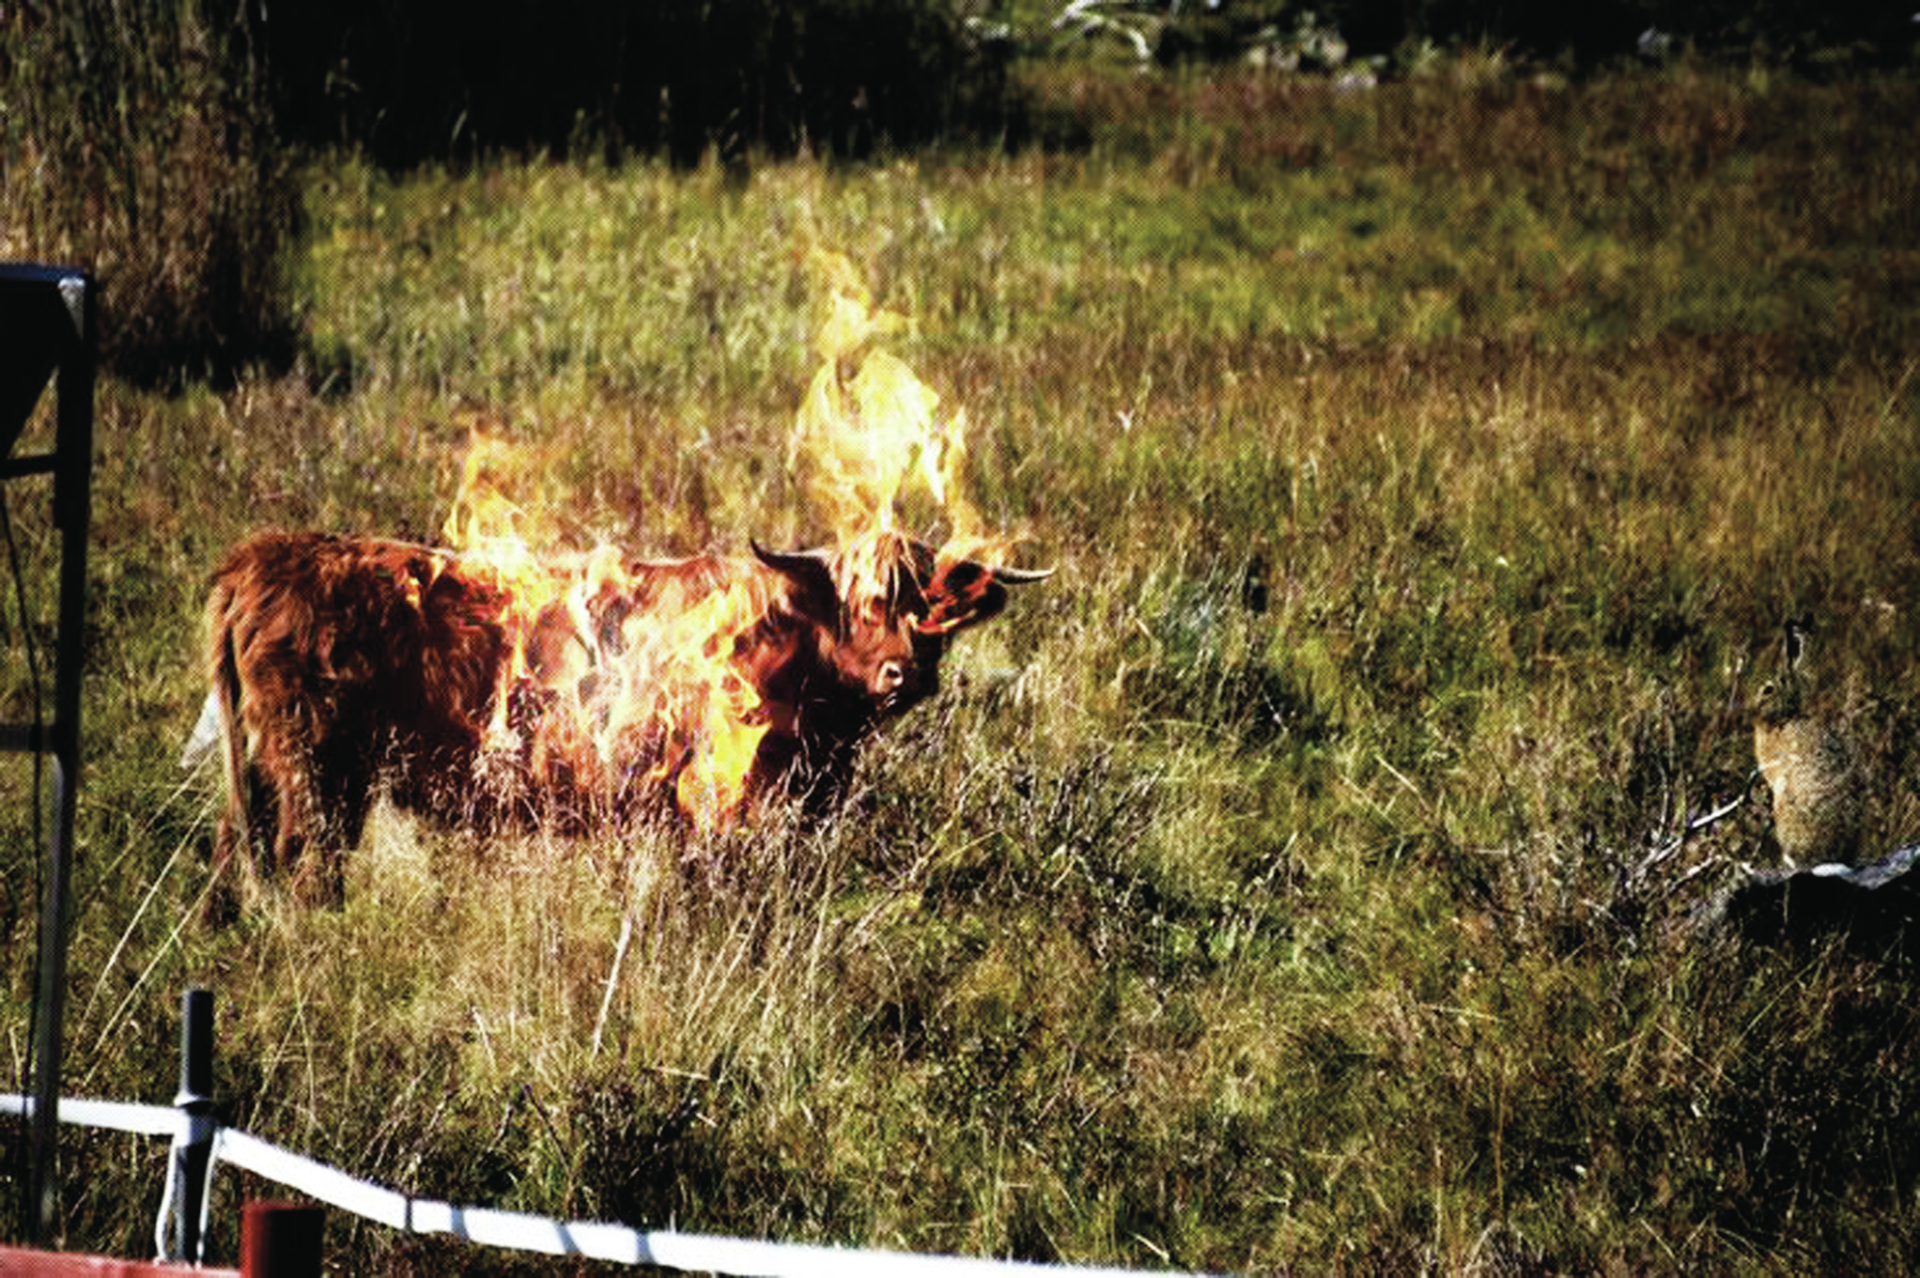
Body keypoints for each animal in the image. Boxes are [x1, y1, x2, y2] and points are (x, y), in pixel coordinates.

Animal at [187, 525, 1044, 905]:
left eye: (929, 613)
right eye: (861, 607)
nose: (907, 673)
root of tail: (258, 560)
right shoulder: (716, 798)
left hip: (266, 765)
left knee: (234, 847)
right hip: (317, 766)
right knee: (305, 859)